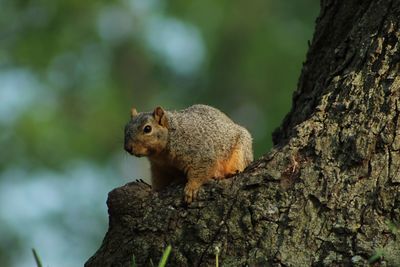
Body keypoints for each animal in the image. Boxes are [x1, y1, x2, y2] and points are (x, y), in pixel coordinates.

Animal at [124, 104, 253, 203]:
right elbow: (160, 180)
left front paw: (191, 188)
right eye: (125, 128)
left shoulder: (199, 152)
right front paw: (153, 191)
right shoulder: (159, 167)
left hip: (240, 151)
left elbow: (201, 170)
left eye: (147, 129)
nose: (128, 148)